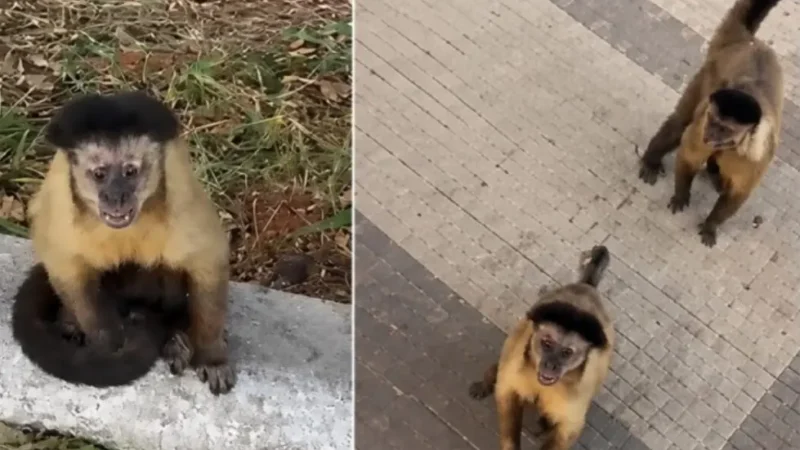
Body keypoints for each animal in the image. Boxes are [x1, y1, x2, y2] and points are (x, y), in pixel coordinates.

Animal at [468, 246, 614, 450]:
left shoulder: (580, 388)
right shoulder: (518, 366)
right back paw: (488, 380)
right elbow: (507, 394)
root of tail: (587, 287)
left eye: (567, 353)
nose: (551, 365)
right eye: (547, 344)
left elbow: (569, 429)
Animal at [637, 0, 784, 247]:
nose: (710, 134)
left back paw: (715, 173)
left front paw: (711, 224)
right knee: (681, 121)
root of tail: (746, 42)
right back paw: (652, 160)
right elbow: (688, 154)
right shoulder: (703, 122)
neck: (735, 145)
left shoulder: (756, 155)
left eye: (724, 129)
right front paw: (681, 195)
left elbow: (739, 191)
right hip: (708, 75)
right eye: (713, 121)